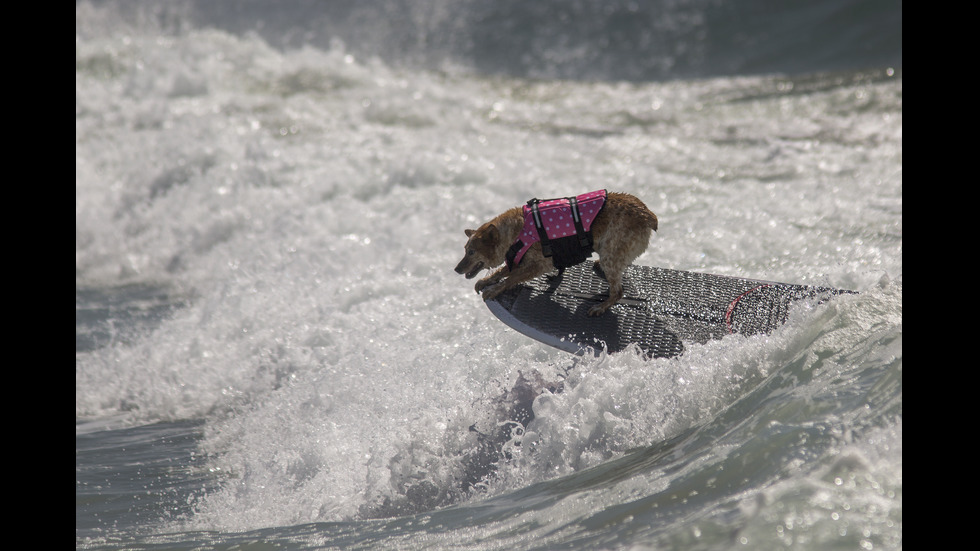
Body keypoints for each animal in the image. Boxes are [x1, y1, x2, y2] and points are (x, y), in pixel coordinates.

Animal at [454, 192, 660, 316]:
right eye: (465, 250)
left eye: (471, 252)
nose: (456, 269)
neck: (518, 231)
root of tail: (649, 215)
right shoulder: (520, 259)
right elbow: (502, 271)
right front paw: (485, 281)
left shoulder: (540, 264)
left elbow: (511, 277)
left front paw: (494, 289)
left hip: (611, 252)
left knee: (618, 291)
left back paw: (599, 307)